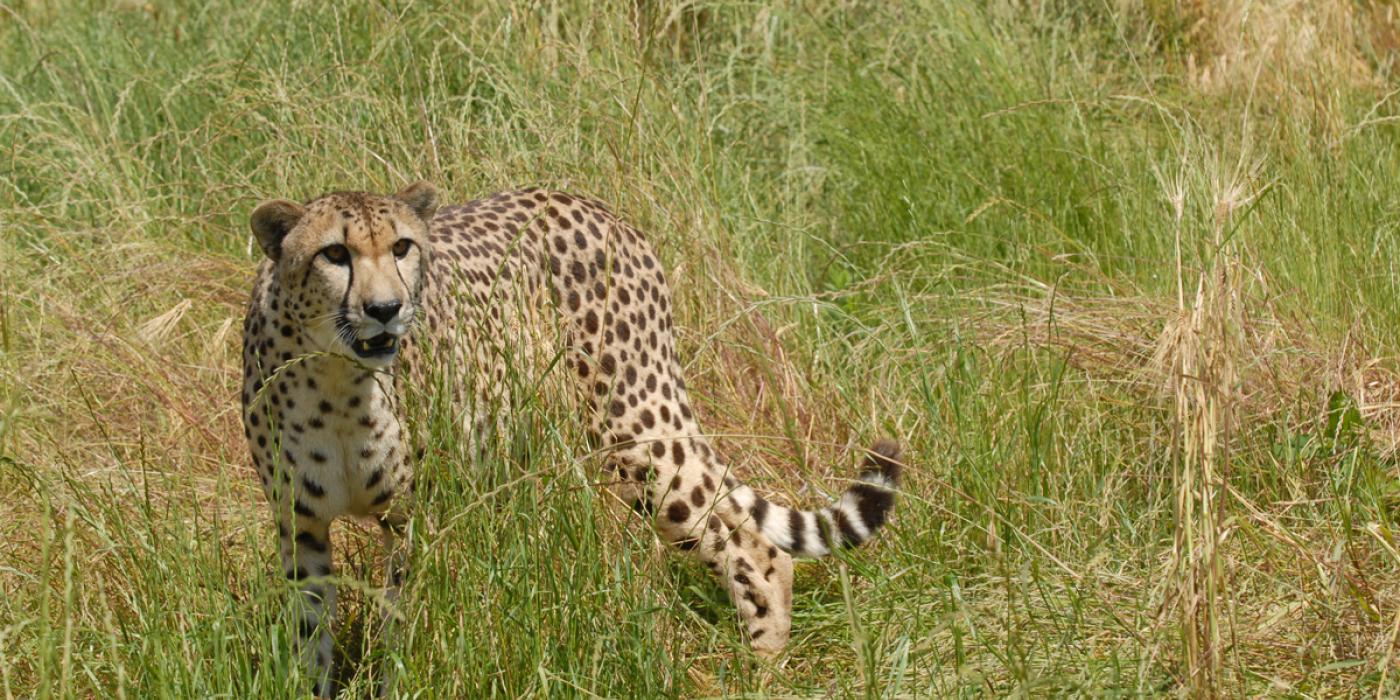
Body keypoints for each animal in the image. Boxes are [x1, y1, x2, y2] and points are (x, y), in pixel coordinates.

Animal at [240, 182, 901, 694]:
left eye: (402, 247)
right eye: (334, 253)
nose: (385, 309)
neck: (337, 377)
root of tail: (583, 200)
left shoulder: (413, 517)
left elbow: (399, 625)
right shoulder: (299, 522)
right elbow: (308, 633)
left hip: (636, 430)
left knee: (755, 544)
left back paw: (762, 668)